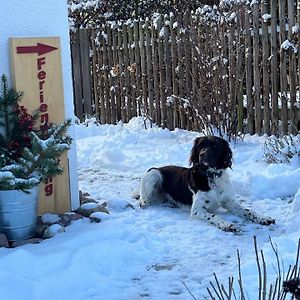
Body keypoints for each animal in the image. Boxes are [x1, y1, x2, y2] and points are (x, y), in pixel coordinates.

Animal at [135, 135, 276, 232]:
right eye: (200, 146)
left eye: (215, 146)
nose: (202, 155)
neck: (212, 177)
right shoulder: (197, 210)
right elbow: (215, 216)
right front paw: (227, 225)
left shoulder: (231, 203)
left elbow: (249, 211)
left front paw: (264, 218)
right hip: (153, 174)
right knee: (142, 202)